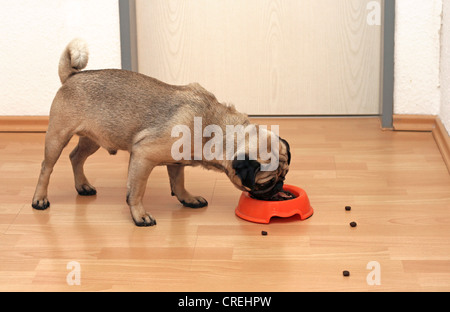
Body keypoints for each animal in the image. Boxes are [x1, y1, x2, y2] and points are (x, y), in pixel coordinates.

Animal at [31, 39, 292, 225]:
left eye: (284, 175)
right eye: (266, 183)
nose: (280, 187)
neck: (215, 128)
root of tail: (71, 76)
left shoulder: (176, 161)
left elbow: (178, 183)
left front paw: (188, 198)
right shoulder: (143, 156)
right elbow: (136, 191)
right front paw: (139, 215)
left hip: (92, 140)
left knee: (76, 157)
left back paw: (82, 186)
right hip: (57, 137)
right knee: (46, 167)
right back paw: (39, 199)